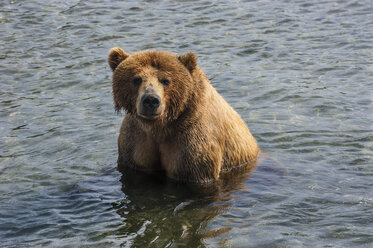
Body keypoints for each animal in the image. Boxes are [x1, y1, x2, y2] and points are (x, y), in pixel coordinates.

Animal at [107, 47, 258, 183]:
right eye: (137, 79)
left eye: (165, 80)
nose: (150, 100)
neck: (160, 126)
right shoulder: (136, 139)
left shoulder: (193, 140)